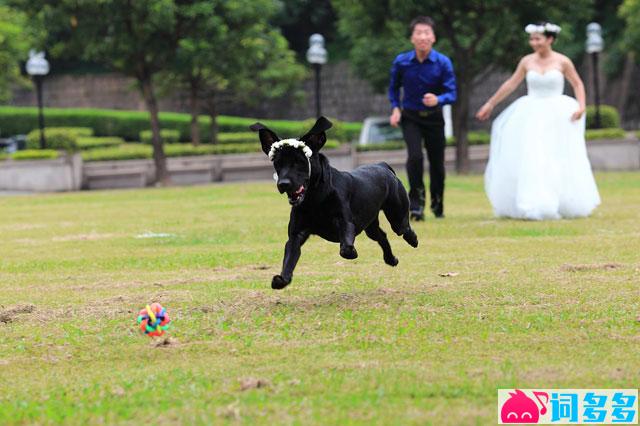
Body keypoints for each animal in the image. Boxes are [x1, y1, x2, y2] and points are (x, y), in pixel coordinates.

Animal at [250, 116, 420, 290]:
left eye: (300, 161)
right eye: (277, 163)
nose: (283, 184)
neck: (315, 199)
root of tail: (382, 165)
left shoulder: (346, 222)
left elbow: (345, 248)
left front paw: (351, 251)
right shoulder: (296, 235)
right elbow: (289, 258)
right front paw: (282, 279)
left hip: (396, 214)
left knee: (403, 228)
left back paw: (413, 239)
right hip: (370, 225)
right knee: (382, 236)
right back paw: (391, 259)